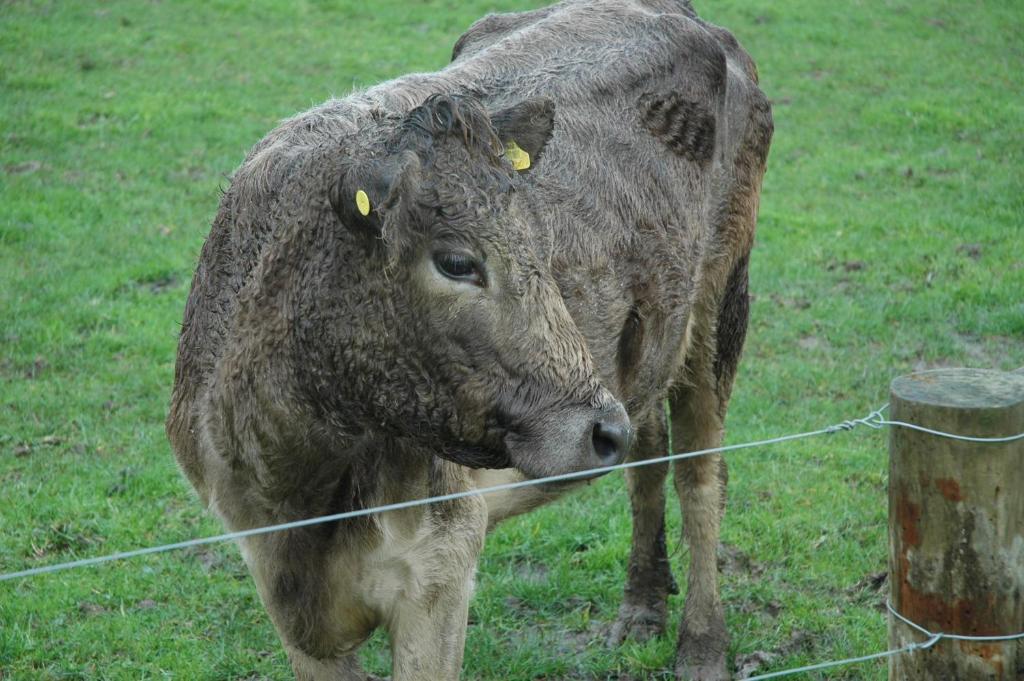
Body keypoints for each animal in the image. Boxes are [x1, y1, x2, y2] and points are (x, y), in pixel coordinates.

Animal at [167, 2, 770, 675]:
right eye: (458, 262)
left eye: (538, 243)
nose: (600, 429)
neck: (306, 486)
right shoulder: (278, 586)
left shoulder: (439, 563)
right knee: (649, 451)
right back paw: (641, 609)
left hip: (721, 299)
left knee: (701, 471)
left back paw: (701, 645)